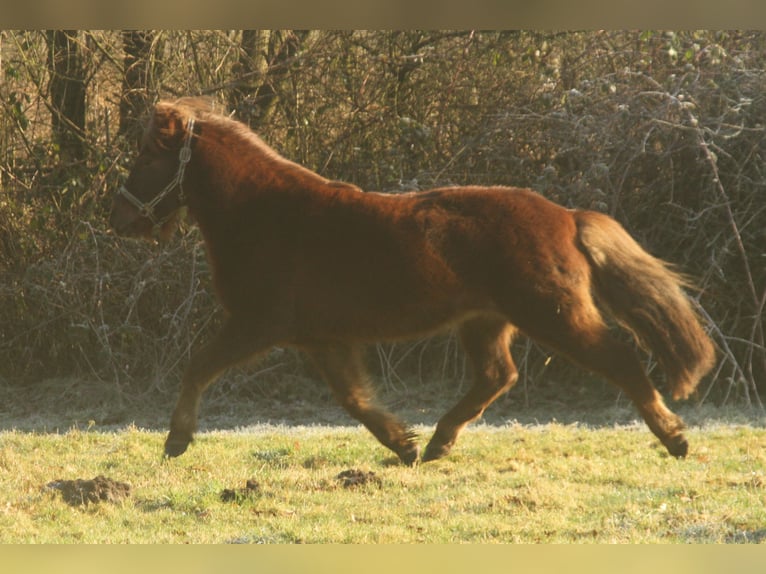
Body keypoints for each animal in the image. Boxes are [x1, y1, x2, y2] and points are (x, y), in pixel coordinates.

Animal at [111, 98, 716, 468]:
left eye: (146, 155)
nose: (120, 219)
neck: (265, 214)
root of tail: (567, 218)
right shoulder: (322, 337)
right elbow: (354, 398)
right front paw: (402, 444)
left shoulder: (259, 323)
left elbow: (199, 366)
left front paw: (176, 440)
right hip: (486, 320)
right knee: (497, 375)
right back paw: (437, 444)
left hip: (553, 315)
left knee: (619, 359)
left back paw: (676, 437)